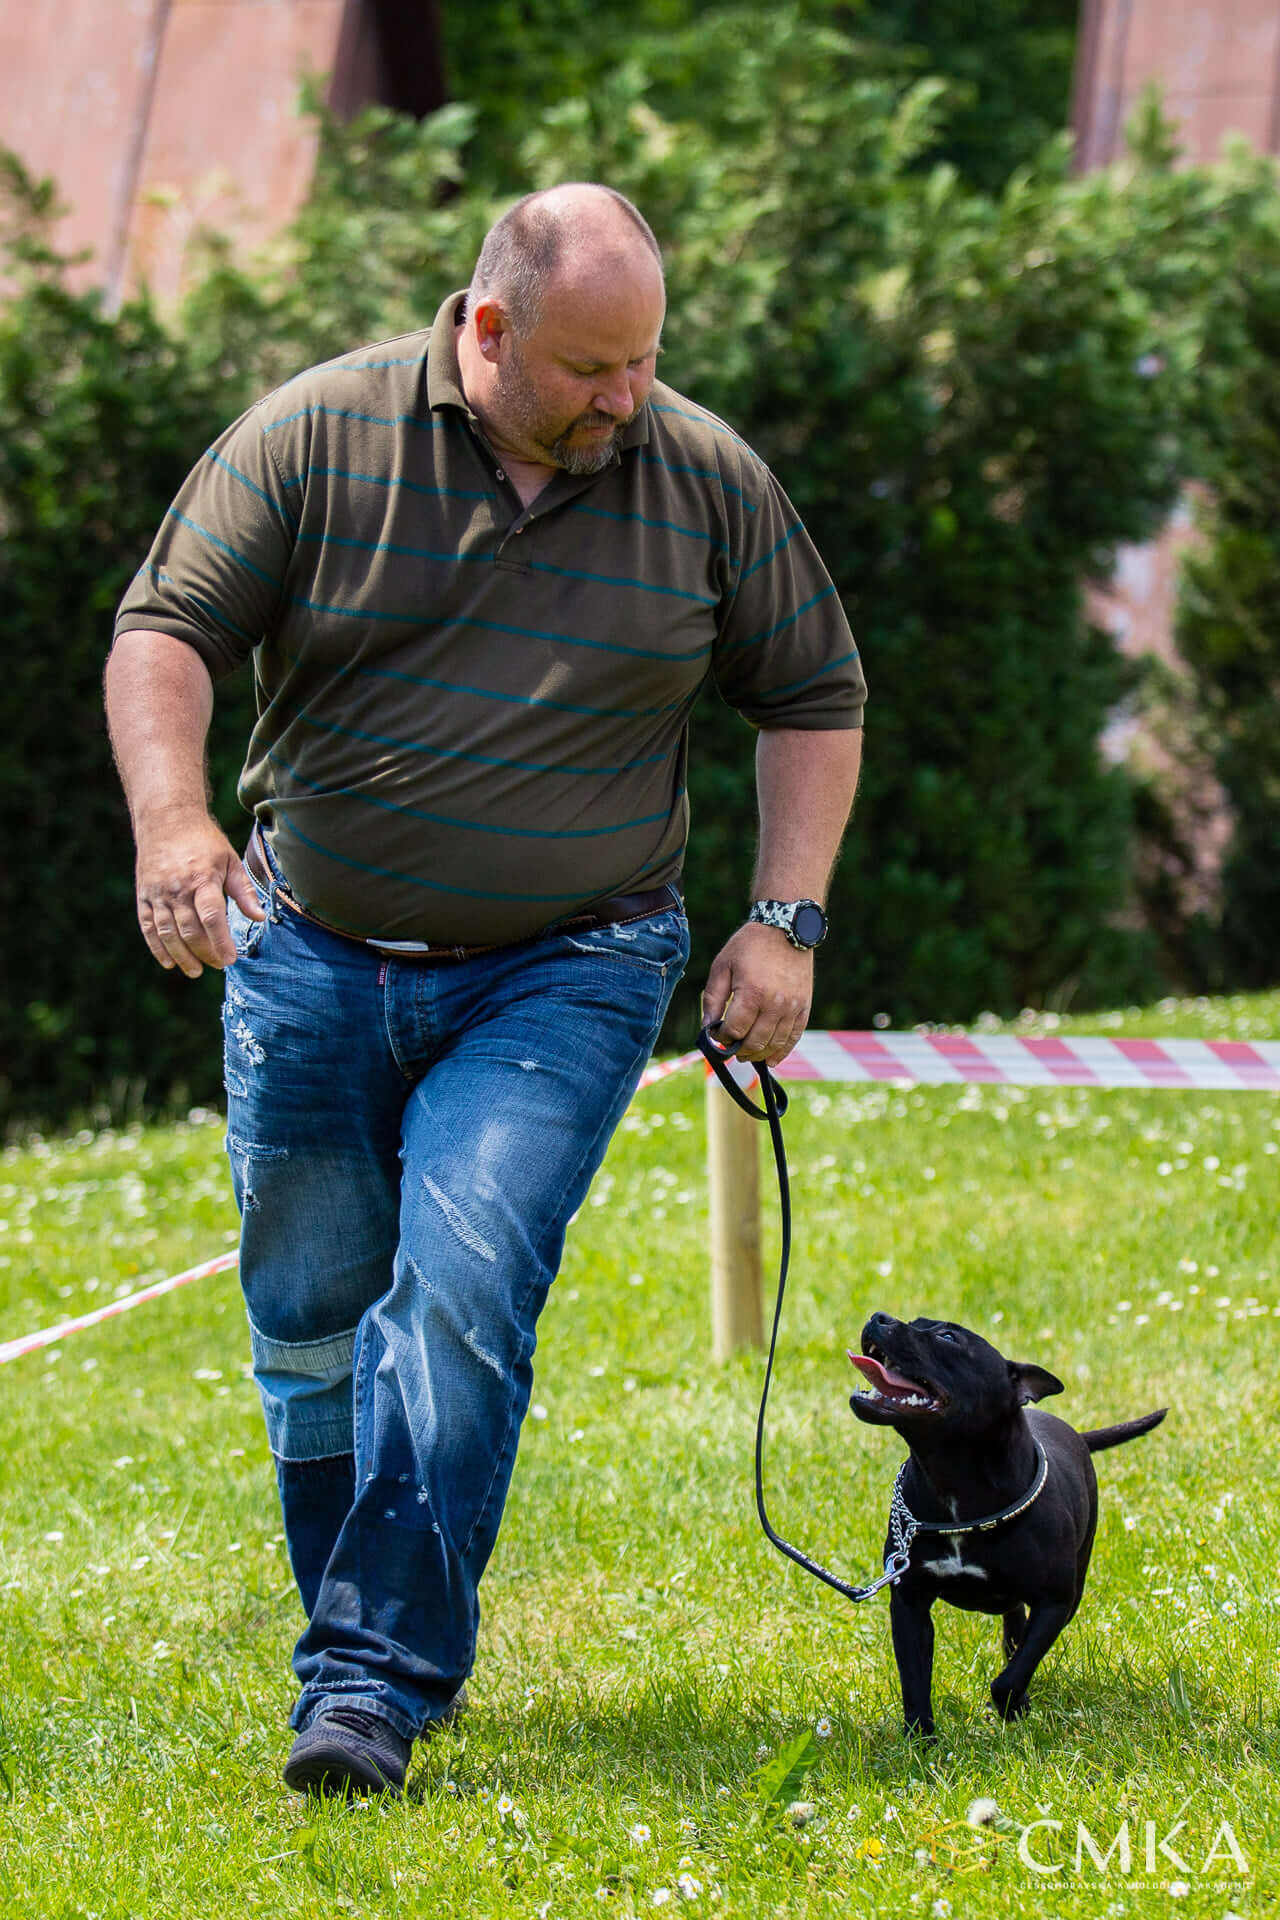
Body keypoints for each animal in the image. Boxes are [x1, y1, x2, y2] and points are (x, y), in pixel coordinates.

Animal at [852, 1305, 1159, 1743]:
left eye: (948, 1337)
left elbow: (1013, 1675)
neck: (953, 1482)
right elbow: (914, 1677)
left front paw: (1014, 1706)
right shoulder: (909, 1603)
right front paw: (921, 1741)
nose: (879, 1316)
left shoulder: (1054, 1603)